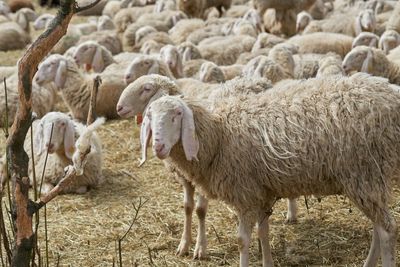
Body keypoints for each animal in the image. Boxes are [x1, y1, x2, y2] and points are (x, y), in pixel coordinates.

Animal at [140, 73, 400, 267]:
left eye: (177, 114)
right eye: (150, 116)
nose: (159, 146)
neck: (220, 136)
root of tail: (390, 93)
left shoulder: (245, 194)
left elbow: (242, 240)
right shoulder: (260, 192)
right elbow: (263, 232)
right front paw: (268, 261)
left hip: (364, 174)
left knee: (387, 231)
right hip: (369, 178)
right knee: (378, 229)